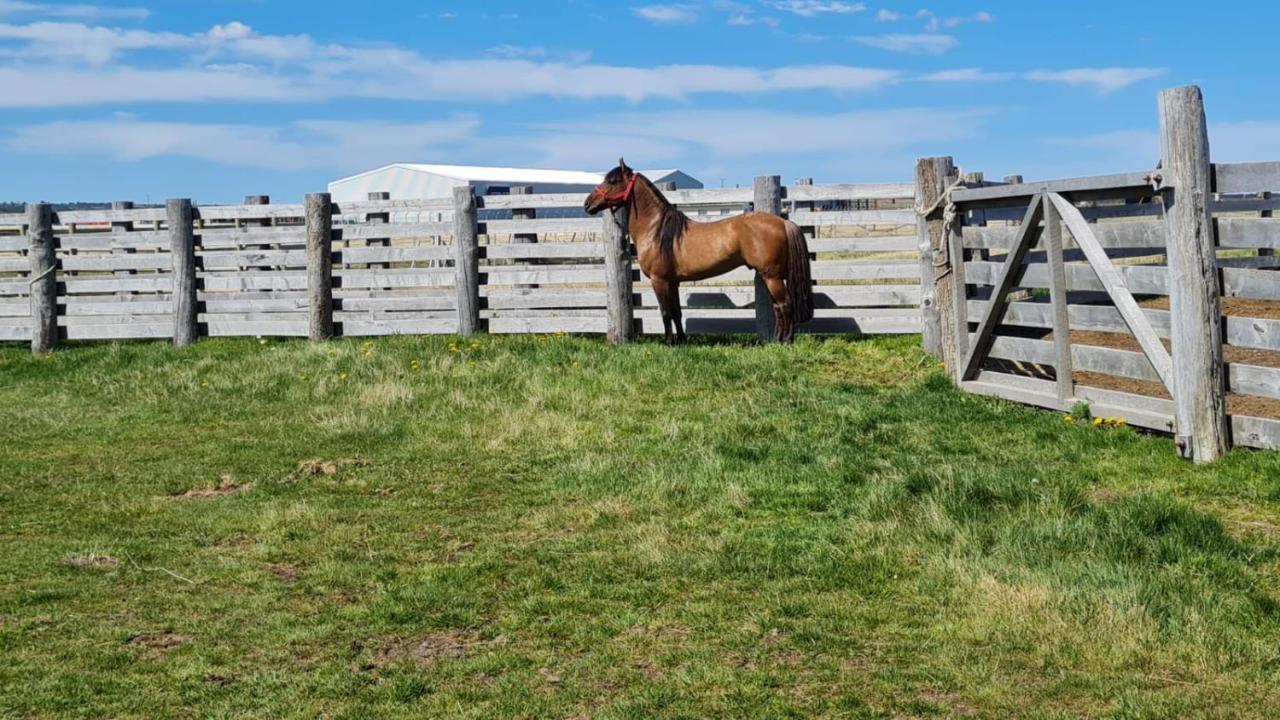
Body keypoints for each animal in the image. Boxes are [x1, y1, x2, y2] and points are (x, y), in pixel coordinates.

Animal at [583, 158, 808, 343]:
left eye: (612, 181)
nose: (587, 204)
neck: (657, 230)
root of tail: (782, 222)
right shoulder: (672, 282)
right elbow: (676, 312)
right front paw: (682, 341)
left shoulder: (659, 280)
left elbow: (665, 312)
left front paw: (669, 343)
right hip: (771, 276)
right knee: (779, 307)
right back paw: (776, 340)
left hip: (772, 276)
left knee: (785, 305)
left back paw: (785, 341)